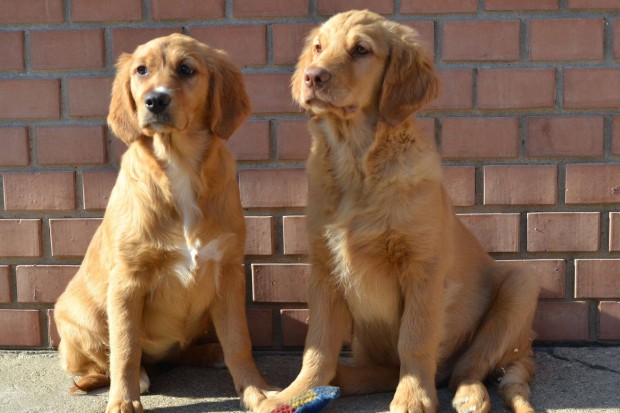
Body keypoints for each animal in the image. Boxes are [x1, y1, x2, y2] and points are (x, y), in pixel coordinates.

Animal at [260, 8, 540, 412]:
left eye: (361, 50)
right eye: (318, 48)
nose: (313, 76)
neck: (356, 163)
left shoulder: (423, 268)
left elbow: (415, 338)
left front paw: (413, 397)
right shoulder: (324, 270)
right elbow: (318, 346)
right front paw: (296, 392)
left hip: (521, 286)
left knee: (467, 367)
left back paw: (469, 395)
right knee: (386, 370)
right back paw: (340, 378)